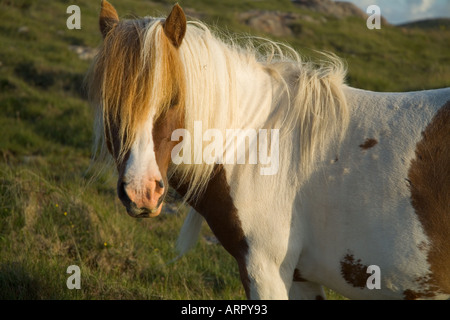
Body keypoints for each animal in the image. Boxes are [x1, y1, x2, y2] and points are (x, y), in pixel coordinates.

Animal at [89, 1, 450, 298]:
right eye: (109, 102)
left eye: (174, 99)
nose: (141, 192)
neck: (258, 143)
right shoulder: (302, 278)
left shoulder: (264, 269)